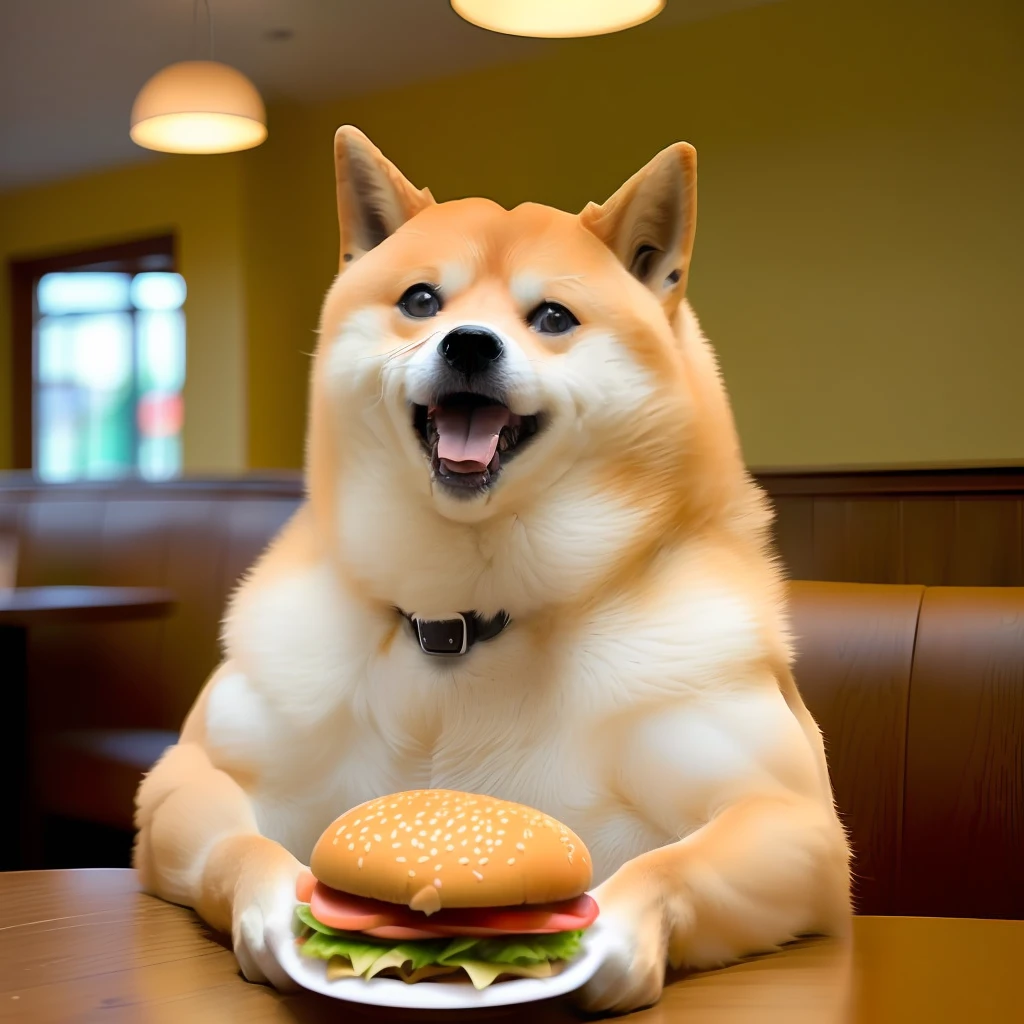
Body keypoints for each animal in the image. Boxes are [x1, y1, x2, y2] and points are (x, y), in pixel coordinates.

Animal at [138, 123, 856, 1011]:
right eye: (421, 302)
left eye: (551, 316)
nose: (470, 344)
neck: (462, 623)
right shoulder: (186, 779)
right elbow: (242, 847)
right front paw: (277, 914)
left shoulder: (791, 823)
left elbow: (665, 866)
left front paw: (612, 941)